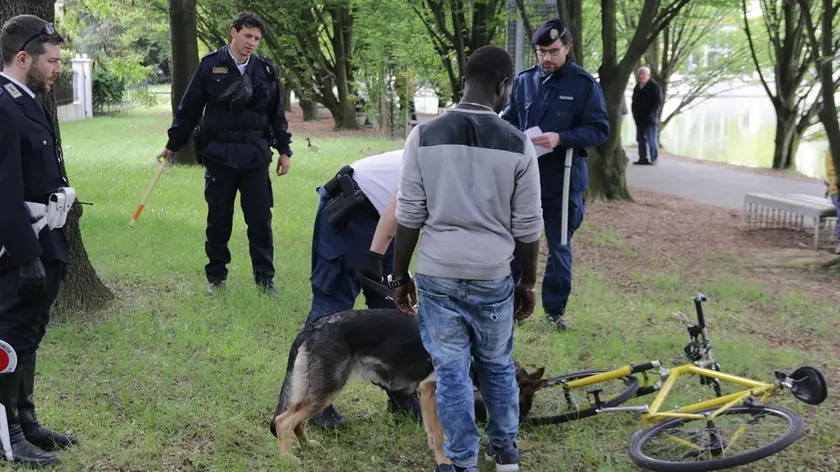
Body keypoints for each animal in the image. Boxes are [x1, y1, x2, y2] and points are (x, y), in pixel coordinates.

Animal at [268, 306, 544, 464]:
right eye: (518, 408)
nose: (518, 431)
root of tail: (313, 327)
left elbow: (438, 431)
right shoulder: (430, 391)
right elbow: (438, 434)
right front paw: (444, 461)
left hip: (320, 392)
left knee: (298, 422)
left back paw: (307, 446)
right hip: (326, 391)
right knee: (283, 421)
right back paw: (288, 458)